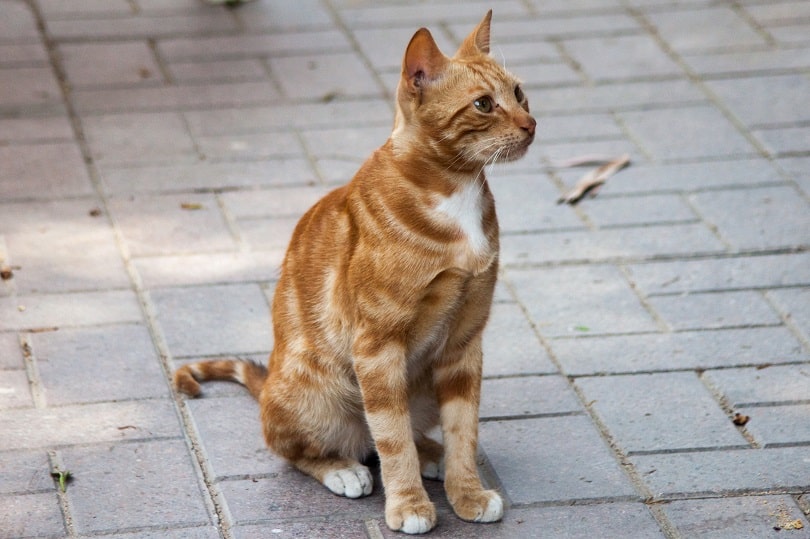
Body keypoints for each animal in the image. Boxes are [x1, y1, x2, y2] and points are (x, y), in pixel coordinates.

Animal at [174, 9, 532, 536]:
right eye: (484, 105)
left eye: (520, 92)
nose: (531, 124)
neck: (455, 191)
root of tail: (270, 380)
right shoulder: (377, 346)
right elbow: (390, 435)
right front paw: (408, 503)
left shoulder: (465, 341)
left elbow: (462, 428)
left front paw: (464, 490)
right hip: (317, 390)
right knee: (311, 448)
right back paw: (343, 468)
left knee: (397, 433)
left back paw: (433, 455)